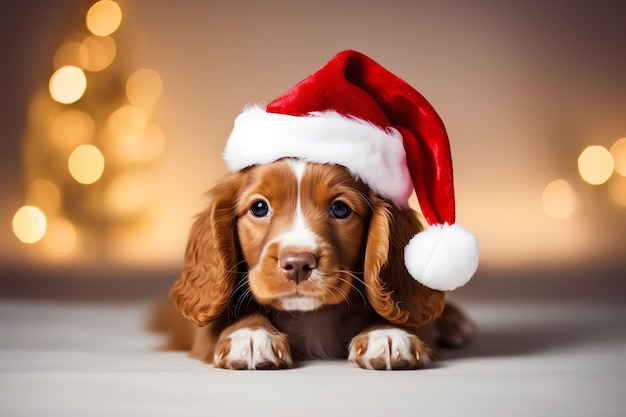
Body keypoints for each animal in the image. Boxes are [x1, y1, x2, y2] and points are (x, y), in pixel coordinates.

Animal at [168, 158, 470, 368]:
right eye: (259, 208)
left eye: (340, 209)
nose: (298, 264)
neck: (310, 314)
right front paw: (251, 335)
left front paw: (387, 334)